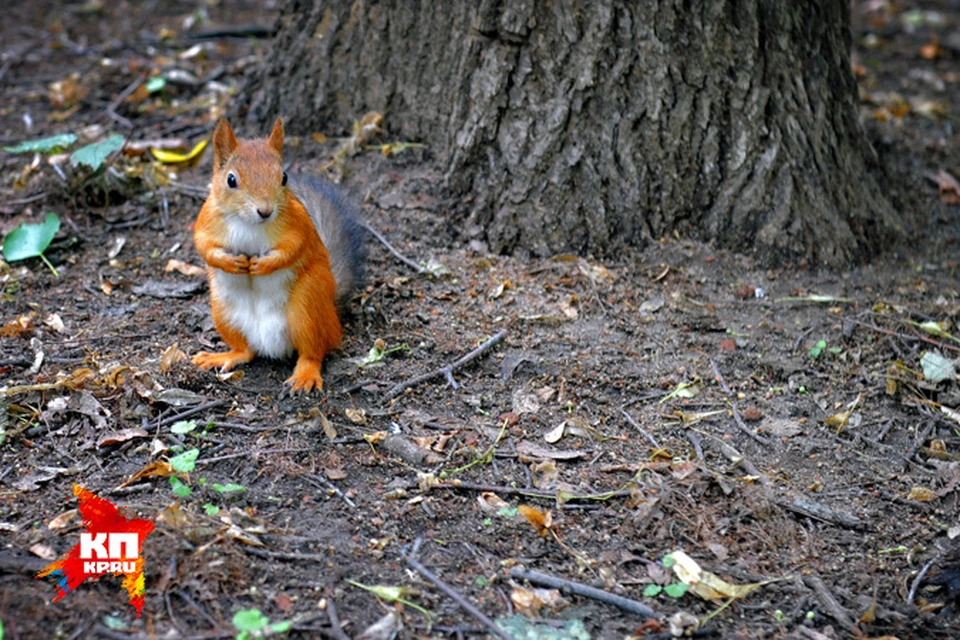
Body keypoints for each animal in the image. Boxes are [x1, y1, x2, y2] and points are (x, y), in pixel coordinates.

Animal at [192, 117, 364, 392]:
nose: (265, 211)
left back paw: (305, 374)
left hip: (307, 307)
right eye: (231, 180)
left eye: (284, 177)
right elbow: (203, 246)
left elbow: (293, 248)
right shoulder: (206, 220)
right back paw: (224, 356)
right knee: (246, 351)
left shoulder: (297, 223)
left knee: (313, 351)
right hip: (223, 311)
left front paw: (263, 266)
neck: (248, 223)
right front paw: (230, 262)